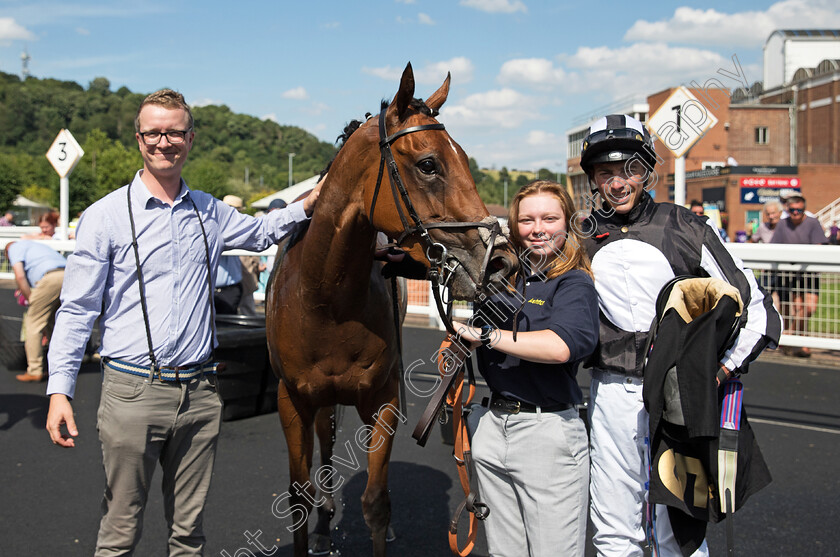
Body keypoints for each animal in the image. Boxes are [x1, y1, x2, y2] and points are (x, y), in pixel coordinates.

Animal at [268, 63, 520, 552]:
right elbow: (298, 498)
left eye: (466, 158)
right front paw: (315, 519)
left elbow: (376, 503)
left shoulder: (382, 400)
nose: (501, 261)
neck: (325, 300)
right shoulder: (292, 400)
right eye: (429, 164)